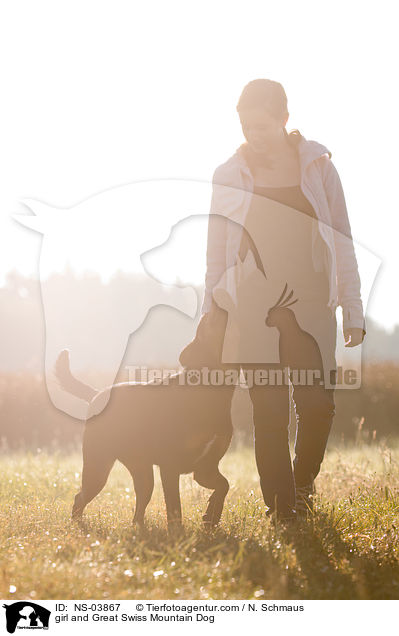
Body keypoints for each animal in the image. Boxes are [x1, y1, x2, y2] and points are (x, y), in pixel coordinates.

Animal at [52, 306, 234, 528]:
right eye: (206, 324)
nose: (217, 306)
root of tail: (97, 394)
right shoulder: (171, 466)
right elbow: (174, 507)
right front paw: (178, 531)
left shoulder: (205, 467)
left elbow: (224, 485)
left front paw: (212, 515)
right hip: (98, 466)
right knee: (80, 496)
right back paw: (78, 525)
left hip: (141, 470)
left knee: (140, 500)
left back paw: (139, 527)